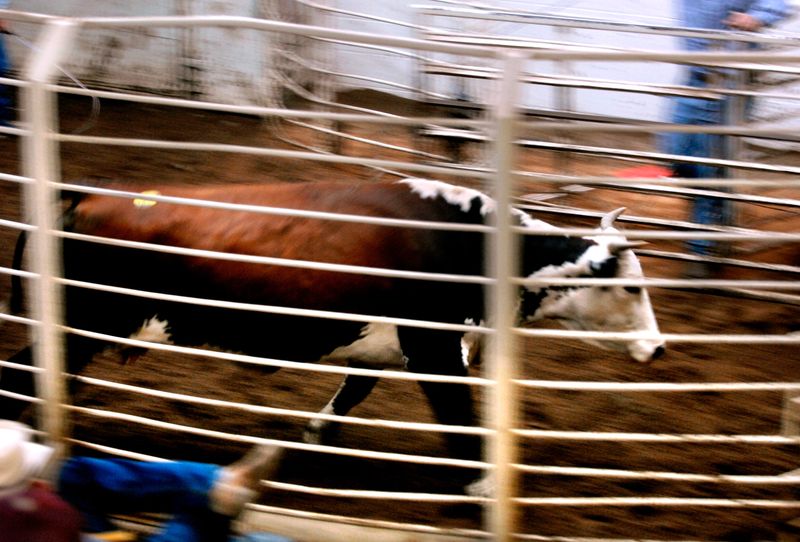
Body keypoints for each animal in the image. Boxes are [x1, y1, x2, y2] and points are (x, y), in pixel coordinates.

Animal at [0, 178, 664, 482]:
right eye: (631, 287)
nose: (657, 350)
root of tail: (86, 198)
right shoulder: (436, 349)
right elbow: (459, 418)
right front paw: (480, 483)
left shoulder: (384, 349)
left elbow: (352, 394)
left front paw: (313, 438)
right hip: (80, 326)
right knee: (26, 374)